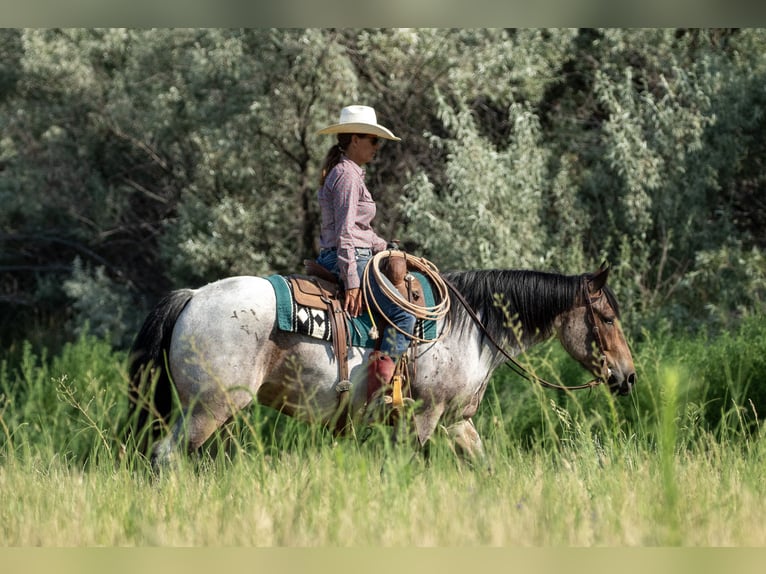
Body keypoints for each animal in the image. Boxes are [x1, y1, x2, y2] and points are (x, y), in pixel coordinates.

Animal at [129, 264, 640, 470]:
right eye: (608, 317)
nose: (627, 376)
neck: (467, 328)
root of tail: (193, 296)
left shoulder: (457, 421)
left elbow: (484, 466)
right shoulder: (424, 416)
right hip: (209, 408)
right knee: (166, 457)